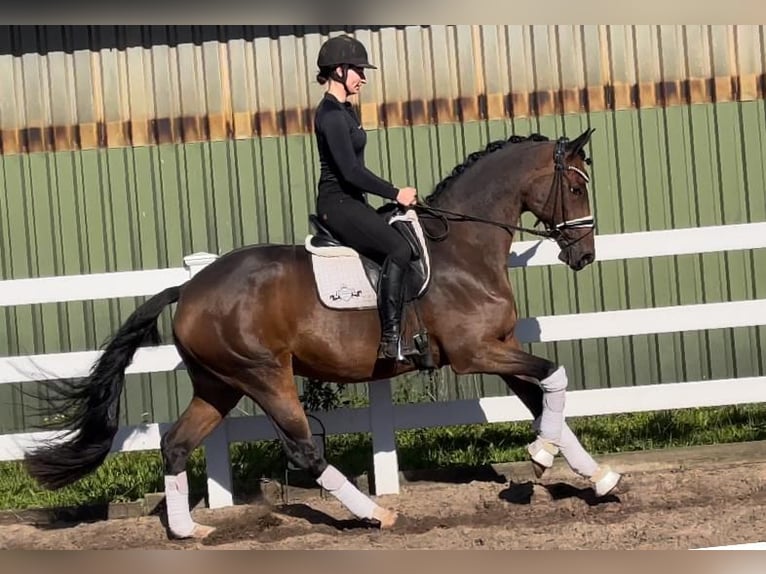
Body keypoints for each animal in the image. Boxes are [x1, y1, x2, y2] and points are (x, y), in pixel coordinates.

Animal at [25, 128, 624, 544]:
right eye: (575, 185)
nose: (584, 255)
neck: (464, 250)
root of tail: (189, 287)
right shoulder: (475, 354)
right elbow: (555, 379)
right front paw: (542, 455)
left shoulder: (499, 348)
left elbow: (547, 398)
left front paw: (596, 477)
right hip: (263, 375)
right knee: (305, 450)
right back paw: (376, 513)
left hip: (218, 384)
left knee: (175, 443)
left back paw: (190, 531)